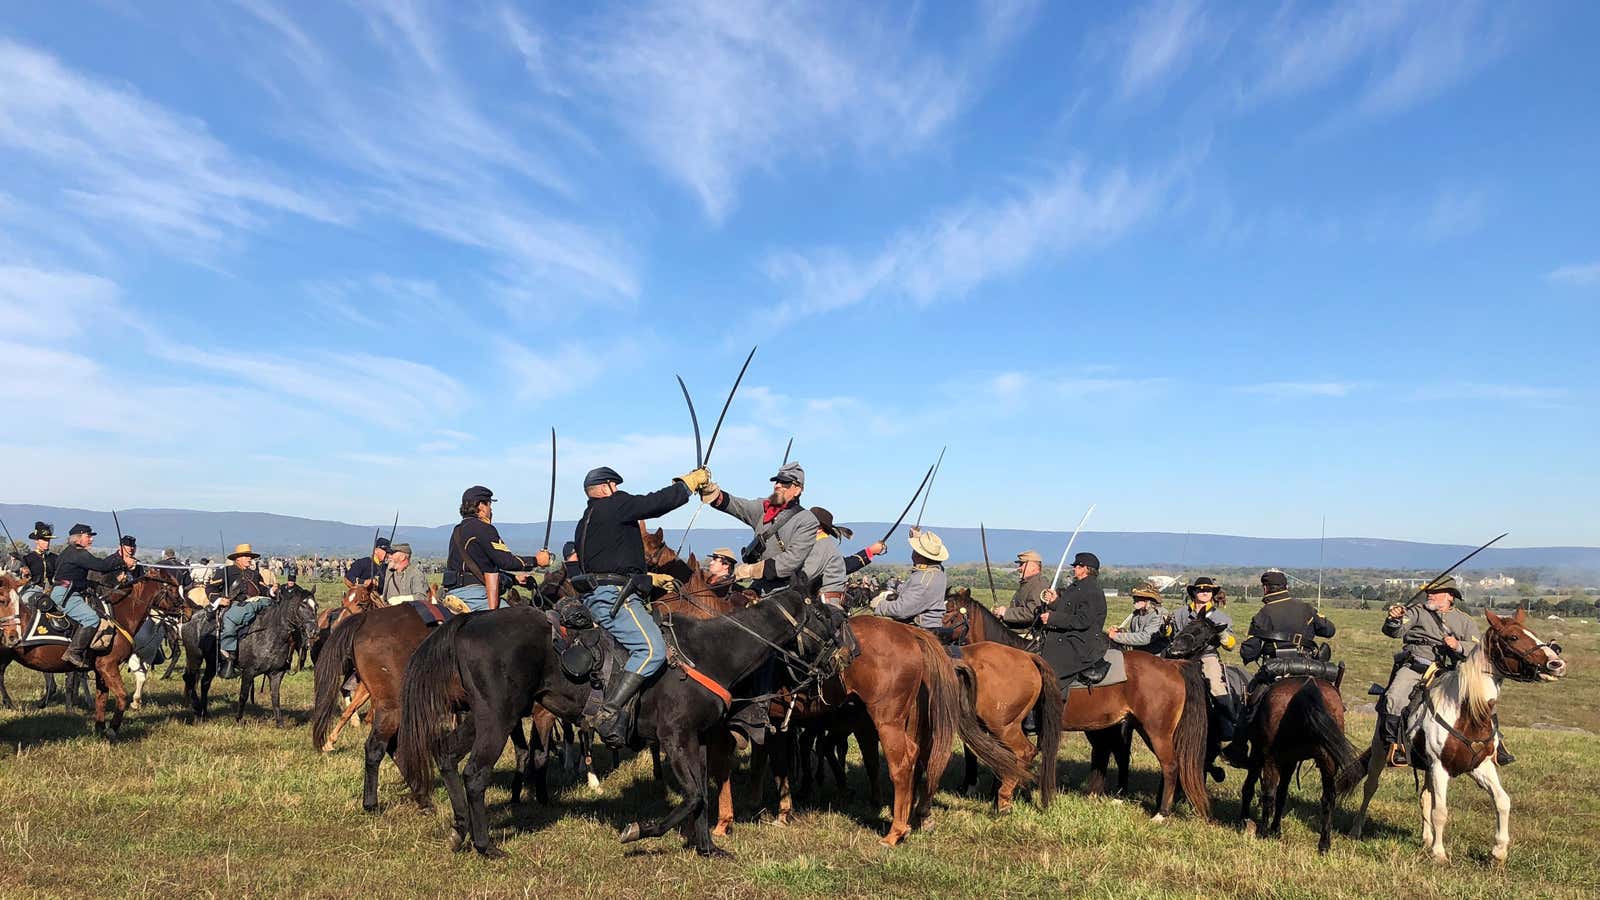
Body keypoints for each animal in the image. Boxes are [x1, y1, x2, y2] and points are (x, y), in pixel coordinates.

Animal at [0, 566, 184, 736]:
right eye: (173, 589)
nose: (184, 611)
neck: (119, 615)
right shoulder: (108, 666)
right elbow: (122, 696)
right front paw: (112, 729)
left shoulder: (100, 670)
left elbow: (101, 698)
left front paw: (100, 728)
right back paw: (11, 703)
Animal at [396, 582, 838, 851]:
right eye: (822, 616)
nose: (842, 656)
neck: (710, 651)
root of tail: (469, 619)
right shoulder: (676, 738)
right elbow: (694, 795)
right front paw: (641, 831)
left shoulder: (694, 740)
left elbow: (701, 794)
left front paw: (707, 848)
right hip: (498, 718)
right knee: (475, 774)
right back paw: (485, 846)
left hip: (481, 717)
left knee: (446, 756)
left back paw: (459, 830)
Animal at [934, 586, 1209, 816]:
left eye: (950, 612)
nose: (936, 634)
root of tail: (1172, 665)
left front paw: (987, 791)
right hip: (1123, 725)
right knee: (1119, 755)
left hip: (1155, 730)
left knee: (1169, 765)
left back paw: (1161, 813)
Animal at [1344, 605, 1568, 858]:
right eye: (1512, 637)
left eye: (1532, 632)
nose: (1557, 664)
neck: (1467, 714)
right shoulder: (1440, 767)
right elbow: (1440, 811)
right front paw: (1439, 853)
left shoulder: (1480, 765)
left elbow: (1502, 801)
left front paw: (1499, 851)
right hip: (1380, 752)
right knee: (1370, 787)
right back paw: (1356, 830)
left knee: (1425, 796)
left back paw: (1426, 838)